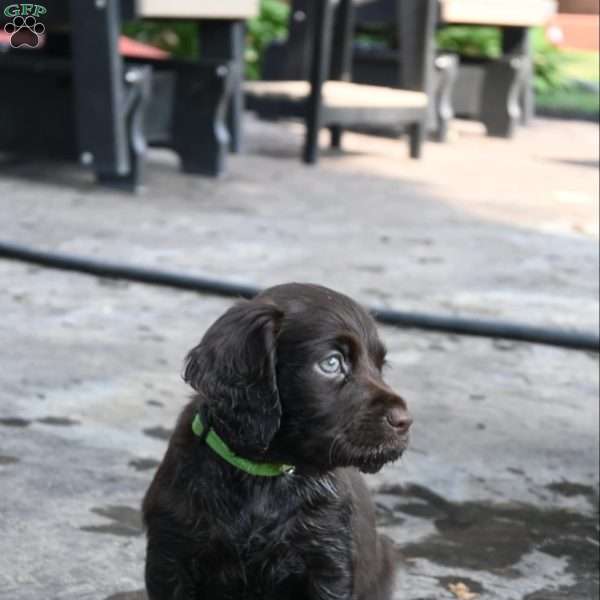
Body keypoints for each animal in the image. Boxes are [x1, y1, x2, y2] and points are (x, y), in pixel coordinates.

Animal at [142, 282, 412, 600]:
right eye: (332, 363)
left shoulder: (329, 563)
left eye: (380, 365)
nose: (404, 421)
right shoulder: (171, 555)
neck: (264, 474)